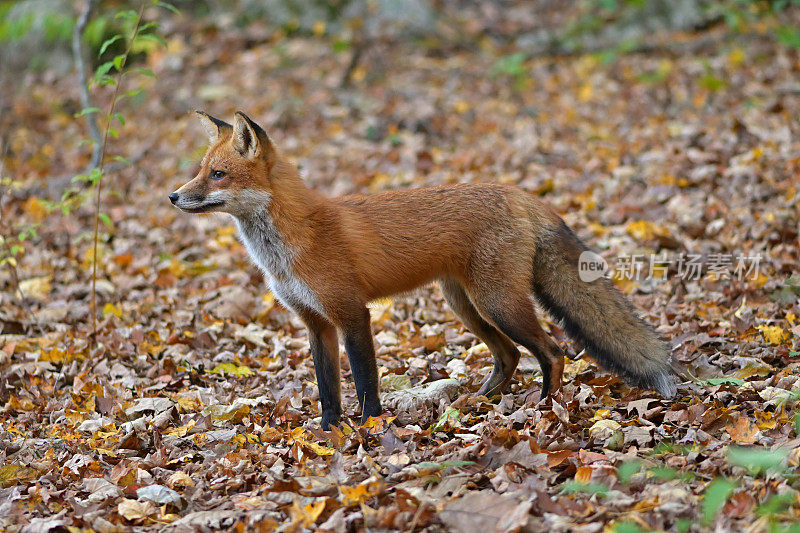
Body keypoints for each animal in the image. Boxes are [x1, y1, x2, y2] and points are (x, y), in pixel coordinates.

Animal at [172, 111, 680, 428]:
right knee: (508, 356)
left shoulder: (352, 313)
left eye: (217, 175)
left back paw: (545, 408)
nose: (174, 196)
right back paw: (481, 402)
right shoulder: (315, 323)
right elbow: (328, 387)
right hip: (467, 307)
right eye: (200, 170)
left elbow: (364, 379)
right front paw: (328, 431)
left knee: (553, 353)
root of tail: (521, 193)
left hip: (498, 303)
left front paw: (371, 425)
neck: (292, 242)